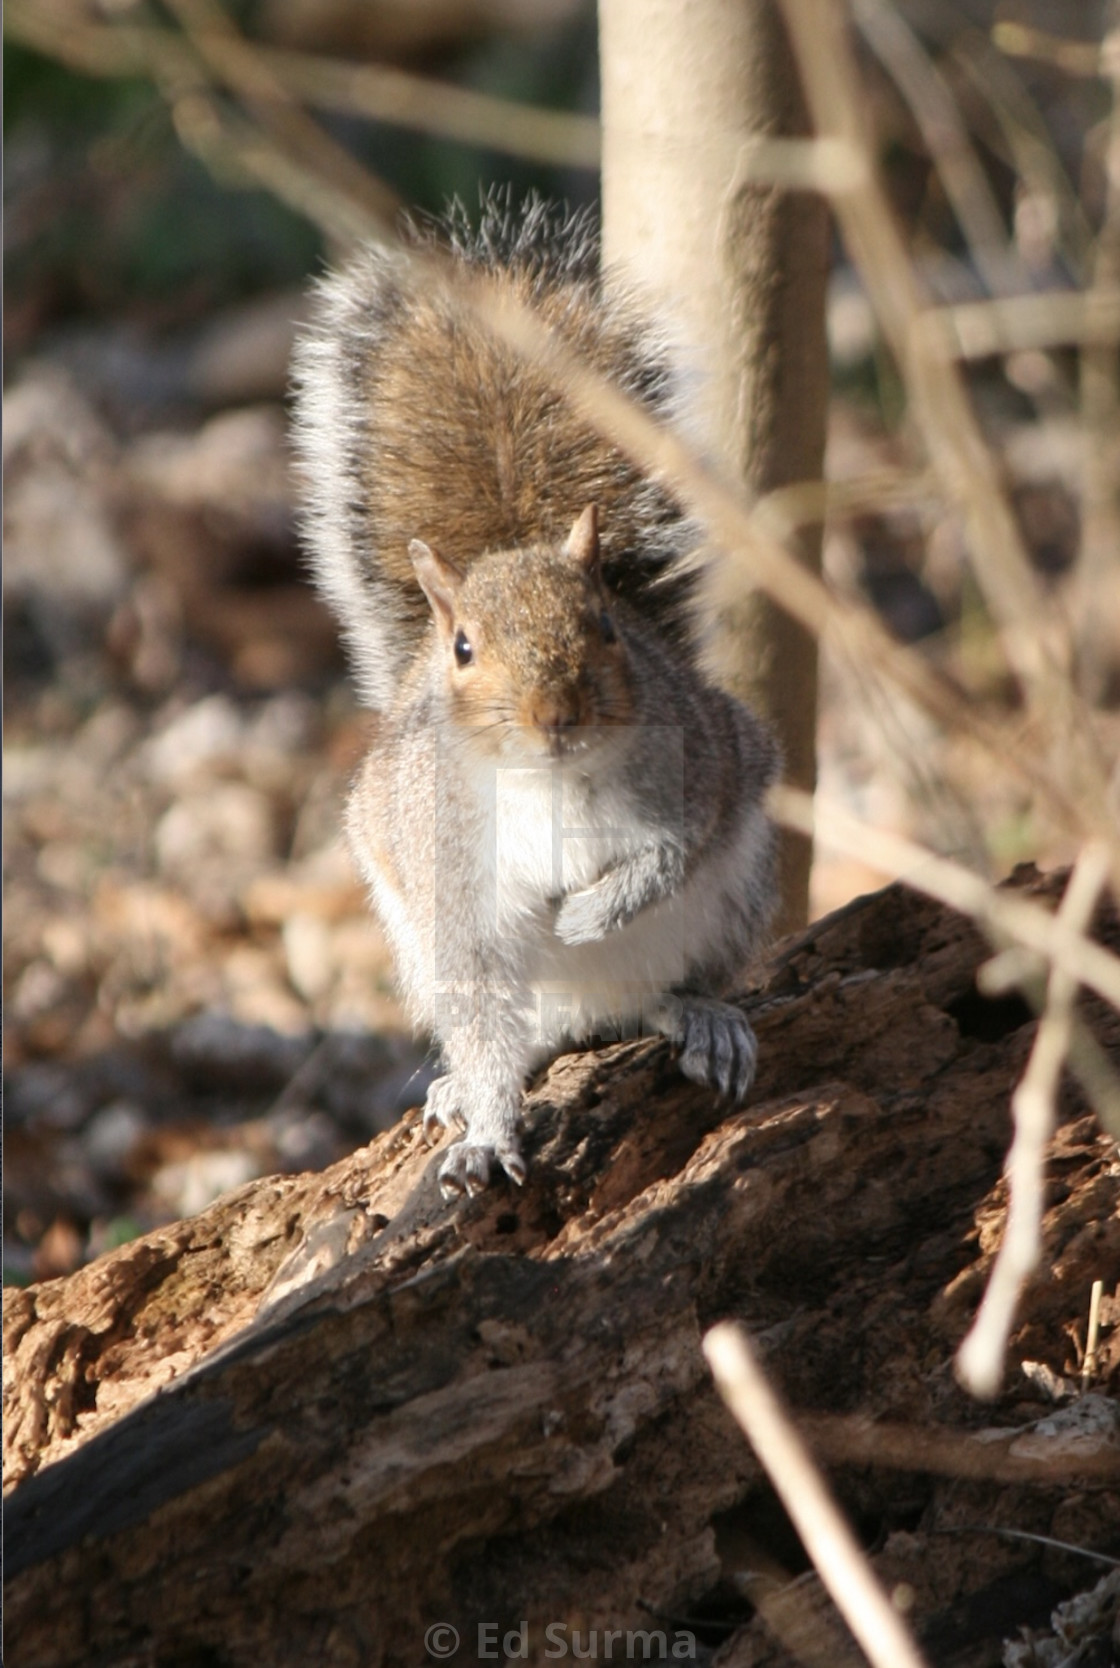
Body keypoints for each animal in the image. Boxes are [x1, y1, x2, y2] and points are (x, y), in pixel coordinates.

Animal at [292, 198, 781, 1200]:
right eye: (463, 651)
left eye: (605, 626)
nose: (555, 712)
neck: (549, 780)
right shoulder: (451, 884)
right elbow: (481, 1006)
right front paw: (486, 1132)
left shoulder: (709, 765)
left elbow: (668, 856)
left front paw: (588, 912)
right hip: (417, 943)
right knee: (511, 1033)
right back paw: (462, 1090)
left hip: (738, 894)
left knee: (667, 991)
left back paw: (701, 1015)